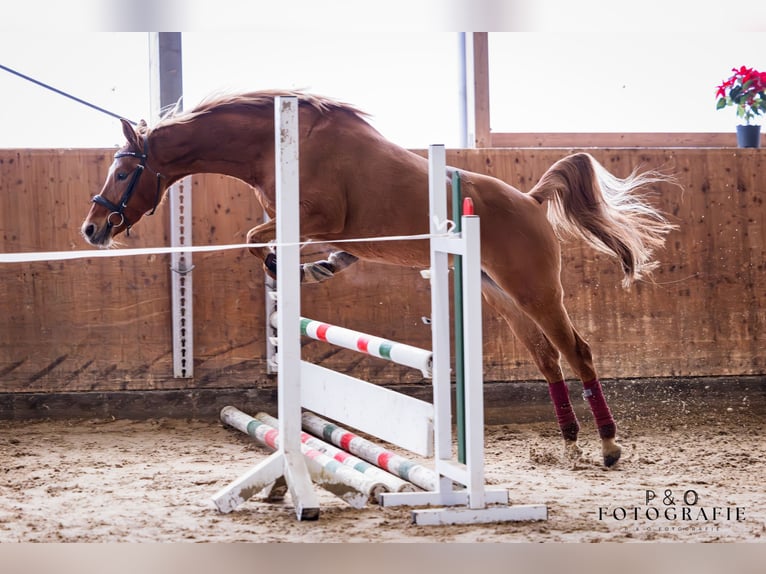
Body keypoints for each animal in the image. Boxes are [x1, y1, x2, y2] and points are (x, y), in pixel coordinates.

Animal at [81, 91, 676, 468]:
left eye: (122, 171)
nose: (91, 228)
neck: (277, 143)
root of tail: (529, 201)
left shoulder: (317, 219)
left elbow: (256, 239)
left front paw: (298, 268)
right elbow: (264, 241)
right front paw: (316, 267)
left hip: (536, 290)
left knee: (577, 352)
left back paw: (608, 447)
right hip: (500, 294)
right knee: (547, 356)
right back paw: (571, 443)